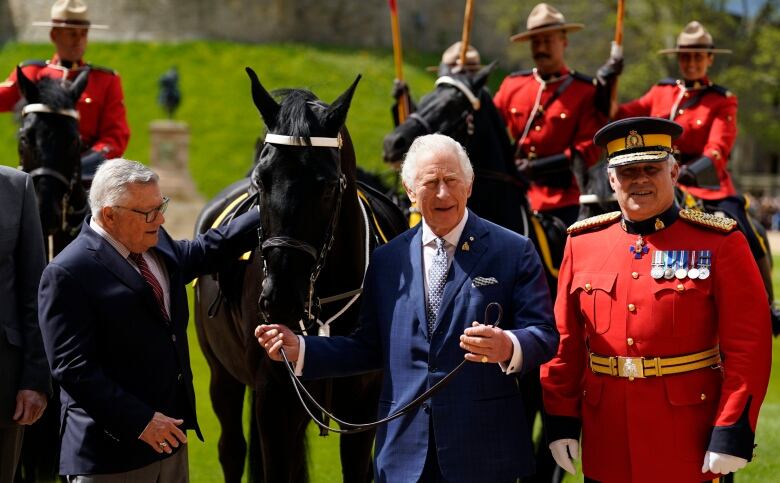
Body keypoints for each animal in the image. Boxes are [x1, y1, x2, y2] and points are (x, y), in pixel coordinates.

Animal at [193, 69, 408, 483]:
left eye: (325, 185)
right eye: (262, 180)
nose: (280, 299)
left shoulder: (362, 407)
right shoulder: (275, 399)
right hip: (222, 375)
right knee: (232, 449)